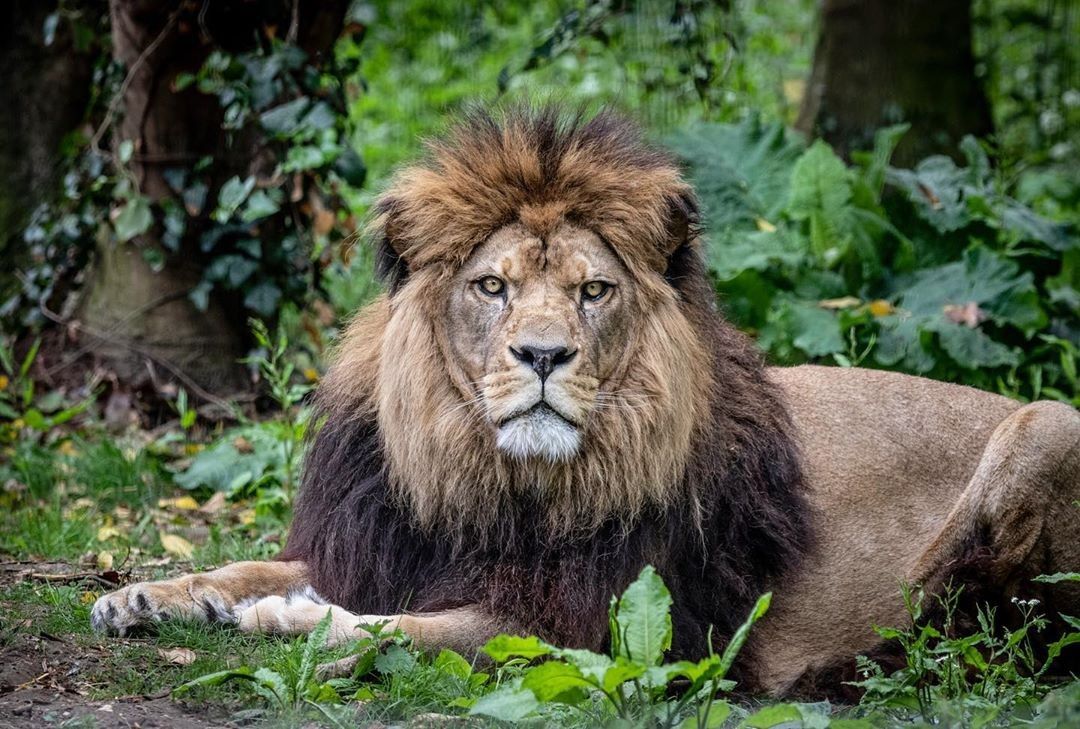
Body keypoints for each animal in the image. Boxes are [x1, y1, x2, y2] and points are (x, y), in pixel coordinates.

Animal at [91, 106, 1080, 696]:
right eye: (491, 286)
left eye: (593, 291)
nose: (541, 354)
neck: (483, 474)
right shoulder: (381, 540)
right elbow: (252, 564)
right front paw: (152, 595)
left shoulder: (595, 625)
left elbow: (415, 629)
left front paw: (296, 622)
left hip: (1043, 427)